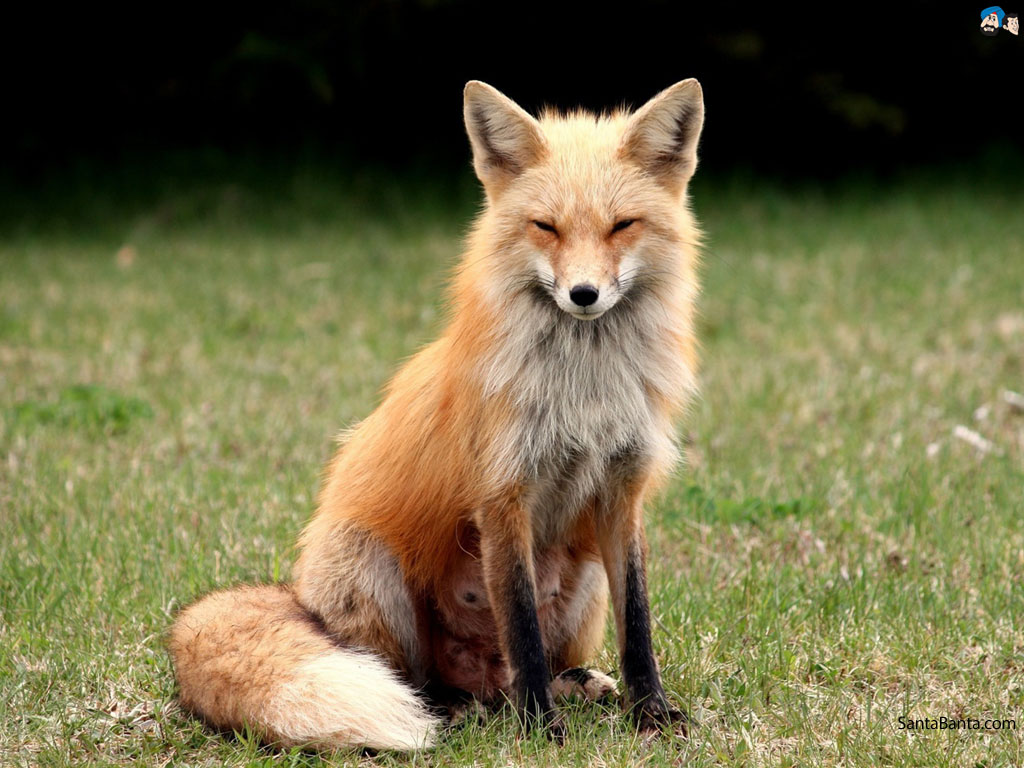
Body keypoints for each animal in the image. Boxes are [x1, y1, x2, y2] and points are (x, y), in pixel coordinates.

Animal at [169, 78, 705, 752]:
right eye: (547, 227)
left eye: (621, 226)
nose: (584, 295)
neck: (584, 391)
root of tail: (300, 597)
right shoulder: (503, 495)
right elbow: (522, 630)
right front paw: (540, 730)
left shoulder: (621, 492)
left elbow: (638, 627)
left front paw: (653, 713)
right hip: (371, 567)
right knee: (420, 677)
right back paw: (453, 709)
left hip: (583, 584)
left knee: (516, 674)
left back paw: (567, 687)